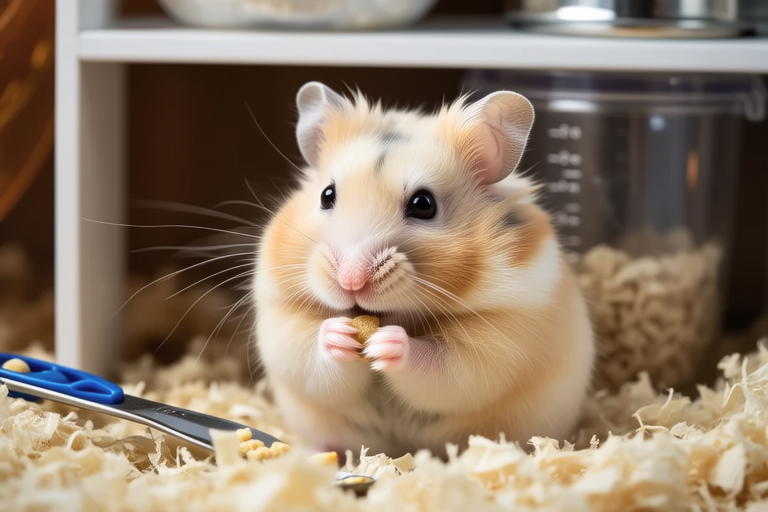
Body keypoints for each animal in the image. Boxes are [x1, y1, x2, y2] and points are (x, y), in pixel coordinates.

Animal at [254, 81, 595, 459]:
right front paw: (338, 333)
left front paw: (388, 343)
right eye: (327, 195)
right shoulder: (281, 318)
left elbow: (442, 365)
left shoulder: (500, 338)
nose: (351, 281)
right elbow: (309, 353)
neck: (393, 315)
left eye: (423, 204)